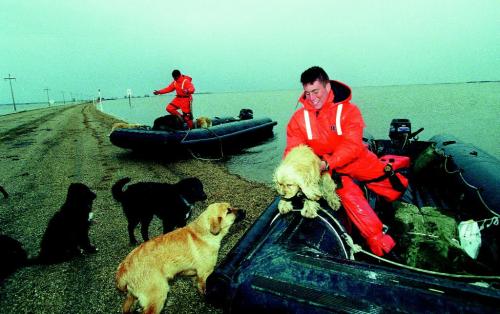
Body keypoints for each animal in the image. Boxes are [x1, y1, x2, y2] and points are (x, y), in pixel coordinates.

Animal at [115, 202, 244, 312]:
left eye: (231, 207)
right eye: (228, 211)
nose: (244, 211)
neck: (203, 232)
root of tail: (123, 268)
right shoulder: (205, 273)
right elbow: (204, 289)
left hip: (131, 296)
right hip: (158, 296)